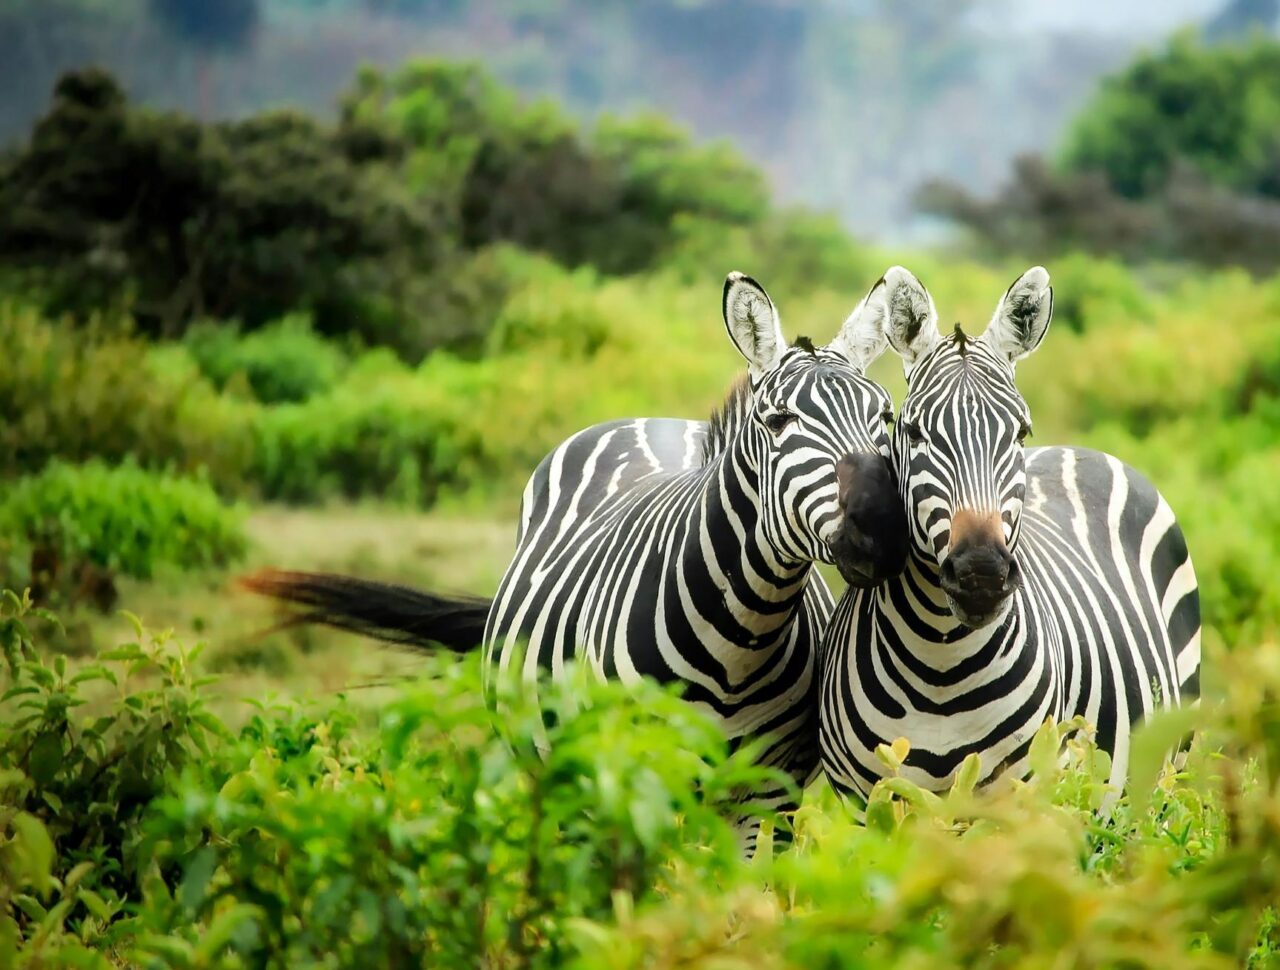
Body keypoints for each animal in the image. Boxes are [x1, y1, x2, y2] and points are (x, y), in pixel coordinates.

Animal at [244, 269, 914, 845]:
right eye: (778, 422)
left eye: (885, 417)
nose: (882, 529)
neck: (740, 639)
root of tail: (648, 418)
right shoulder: (627, 779)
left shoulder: (766, 797)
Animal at [818, 265, 1201, 805]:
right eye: (913, 432)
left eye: (1020, 432)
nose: (981, 574)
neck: (939, 665)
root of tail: (1080, 449)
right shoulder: (865, 802)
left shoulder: (1021, 797)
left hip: (1168, 771)